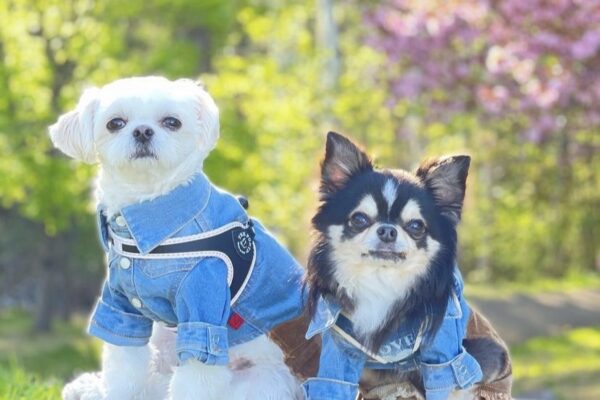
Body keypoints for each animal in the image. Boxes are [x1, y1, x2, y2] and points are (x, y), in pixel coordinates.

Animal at [49, 77, 304, 400]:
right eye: (115, 123)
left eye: (172, 122)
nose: (143, 131)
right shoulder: (121, 305)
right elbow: (124, 366)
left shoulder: (203, 310)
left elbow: (194, 379)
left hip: (259, 382)